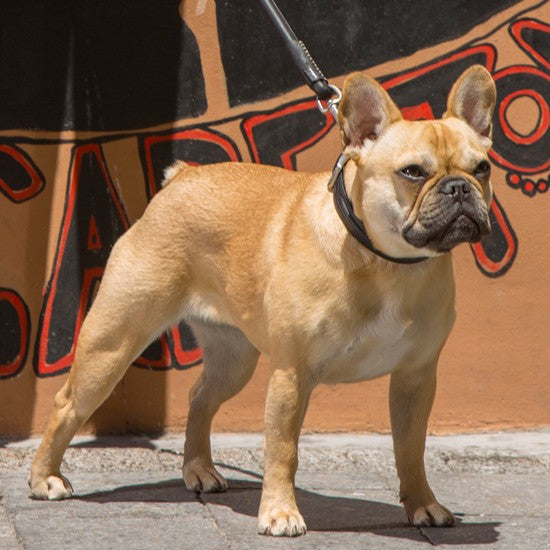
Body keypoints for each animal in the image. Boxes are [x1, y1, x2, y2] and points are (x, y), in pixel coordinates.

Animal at [29, 67, 496, 536]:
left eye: (483, 168)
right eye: (413, 172)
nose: (460, 188)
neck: (387, 262)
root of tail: (180, 179)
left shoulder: (415, 377)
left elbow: (411, 449)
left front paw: (423, 505)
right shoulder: (292, 374)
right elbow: (282, 451)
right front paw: (280, 512)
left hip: (233, 359)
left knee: (200, 397)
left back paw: (198, 469)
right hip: (113, 344)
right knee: (67, 404)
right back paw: (44, 478)